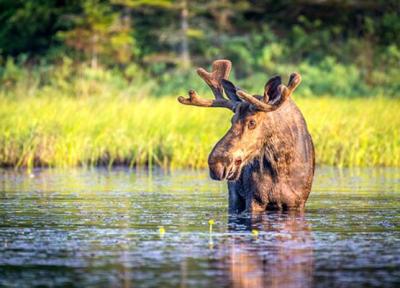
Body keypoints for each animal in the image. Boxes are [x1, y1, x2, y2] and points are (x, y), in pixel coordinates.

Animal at [179, 59, 316, 213]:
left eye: (252, 122)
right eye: (232, 120)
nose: (216, 163)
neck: (281, 164)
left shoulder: (297, 203)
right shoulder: (254, 199)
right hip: (234, 196)